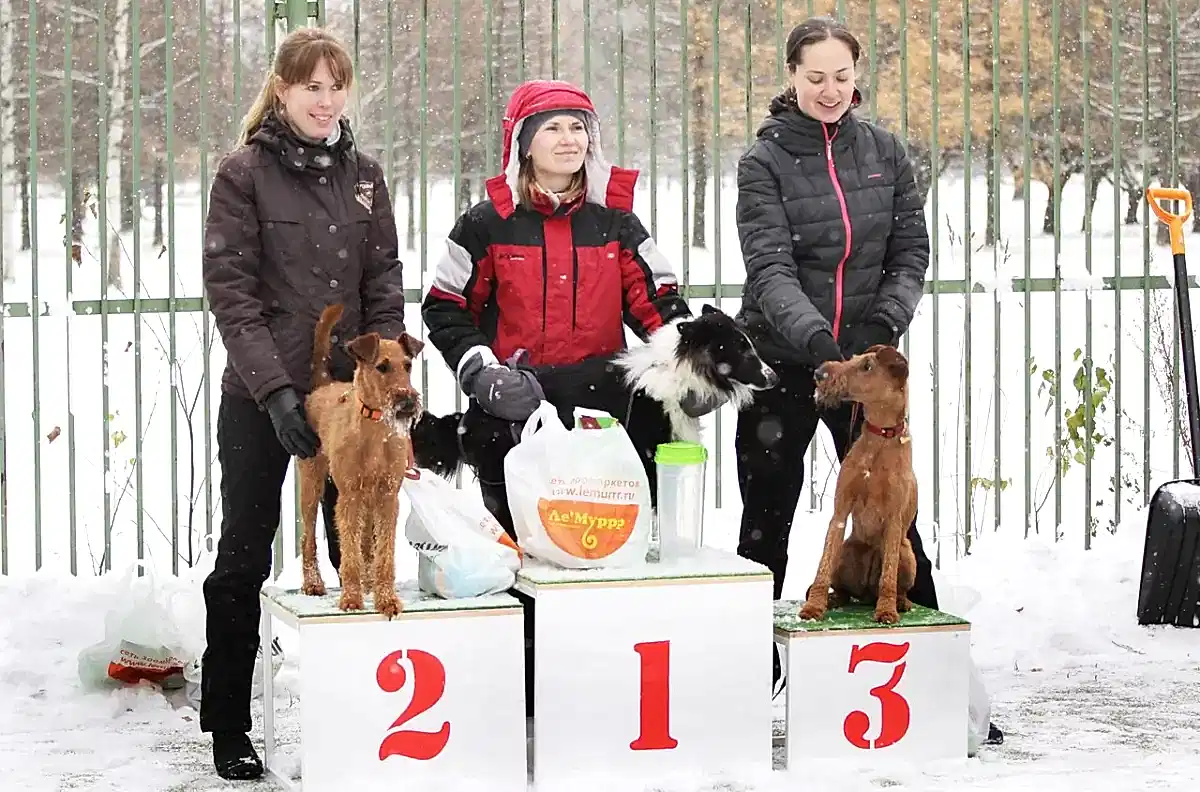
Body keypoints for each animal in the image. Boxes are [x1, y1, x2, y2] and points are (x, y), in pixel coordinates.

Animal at [298, 303, 426, 618]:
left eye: (408, 365)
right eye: (382, 366)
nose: (407, 401)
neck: (375, 428)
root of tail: (323, 385)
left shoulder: (388, 496)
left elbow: (383, 553)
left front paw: (386, 598)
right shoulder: (349, 497)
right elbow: (350, 552)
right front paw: (352, 597)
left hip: (369, 497)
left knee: (367, 542)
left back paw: (368, 583)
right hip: (311, 482)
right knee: (308, 537)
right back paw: (313, 583)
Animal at [797, 344, 918, 625]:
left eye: (867, 366)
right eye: (852, 359)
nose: (819, 373)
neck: (880, 438)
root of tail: (864, 595)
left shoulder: (894, 520)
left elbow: (888, 573)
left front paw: (886, 611)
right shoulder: (840, 511)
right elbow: (823, 564)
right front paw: (813, 607)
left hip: (907, 553)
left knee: (895, 582)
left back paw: (900, 601)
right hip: (847, 550)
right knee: (841, 587)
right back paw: (834, 599)